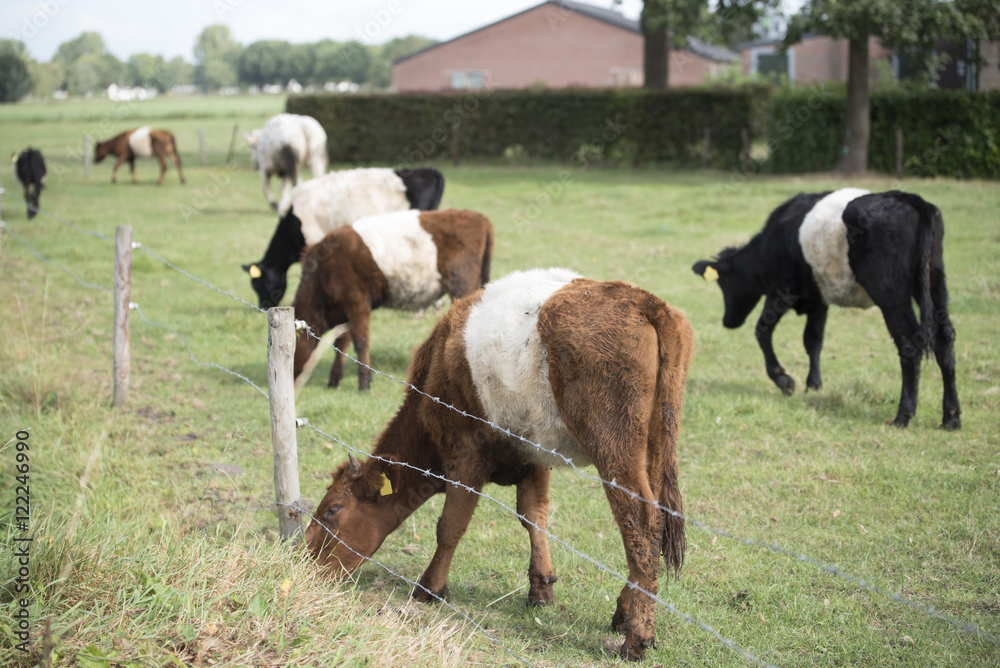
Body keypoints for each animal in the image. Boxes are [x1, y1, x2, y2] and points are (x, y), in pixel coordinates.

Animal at [290, 209, 492, 392]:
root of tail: (479, 217)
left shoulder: (358, 303)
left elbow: (361, 342)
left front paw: (364, 383)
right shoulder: (345, 312)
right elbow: (341, 343)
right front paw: (334, 381)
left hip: (461, 285)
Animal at [304, 268, 696, 664]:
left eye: (332, 510)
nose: (304, 561)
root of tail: (644, 301)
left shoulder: (465, 456)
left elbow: (450, 526)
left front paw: (430, 587)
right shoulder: (534, 455)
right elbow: (534, 516)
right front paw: (541, 587)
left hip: (614, 447)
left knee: (640, 523)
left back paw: (637, 638)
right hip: (654, 447)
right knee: (654, 522)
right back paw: (625, 612)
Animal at [696, 189, 960, 428]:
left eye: (723, 282)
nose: (728, 321)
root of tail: (912, 199)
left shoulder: (781, 290)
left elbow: (763, 330)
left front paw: (784, 380)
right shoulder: (818, 299)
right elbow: (813, 340)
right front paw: (813, 385)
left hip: (891, 293)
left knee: (910, 342)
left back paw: (903, 415)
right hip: (935, 282)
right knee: (943, 339)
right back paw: (951, 417)